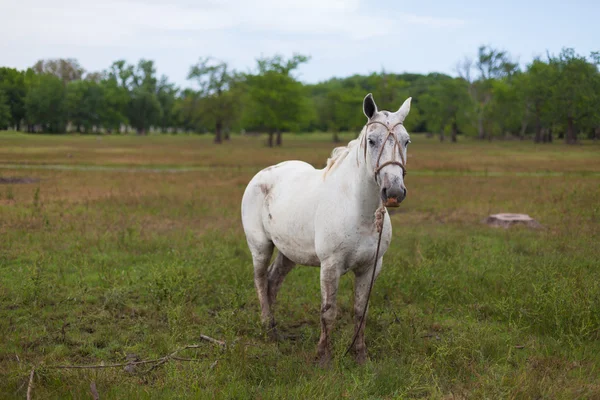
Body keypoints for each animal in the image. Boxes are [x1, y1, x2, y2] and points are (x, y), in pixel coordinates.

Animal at [241, 94, 410, 366]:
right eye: (372, 141)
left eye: (407, 141)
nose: (393, 192)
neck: (359, 211)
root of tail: (262, 175)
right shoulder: (330, 266)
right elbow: (328, 312)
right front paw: (323, 358)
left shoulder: (370, 268)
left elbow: (360, 311)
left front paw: (360, 356)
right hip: (260, 246)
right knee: (260, 280)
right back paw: (267, 327)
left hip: (288, 253)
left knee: (272, 283)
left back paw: (276, 331)